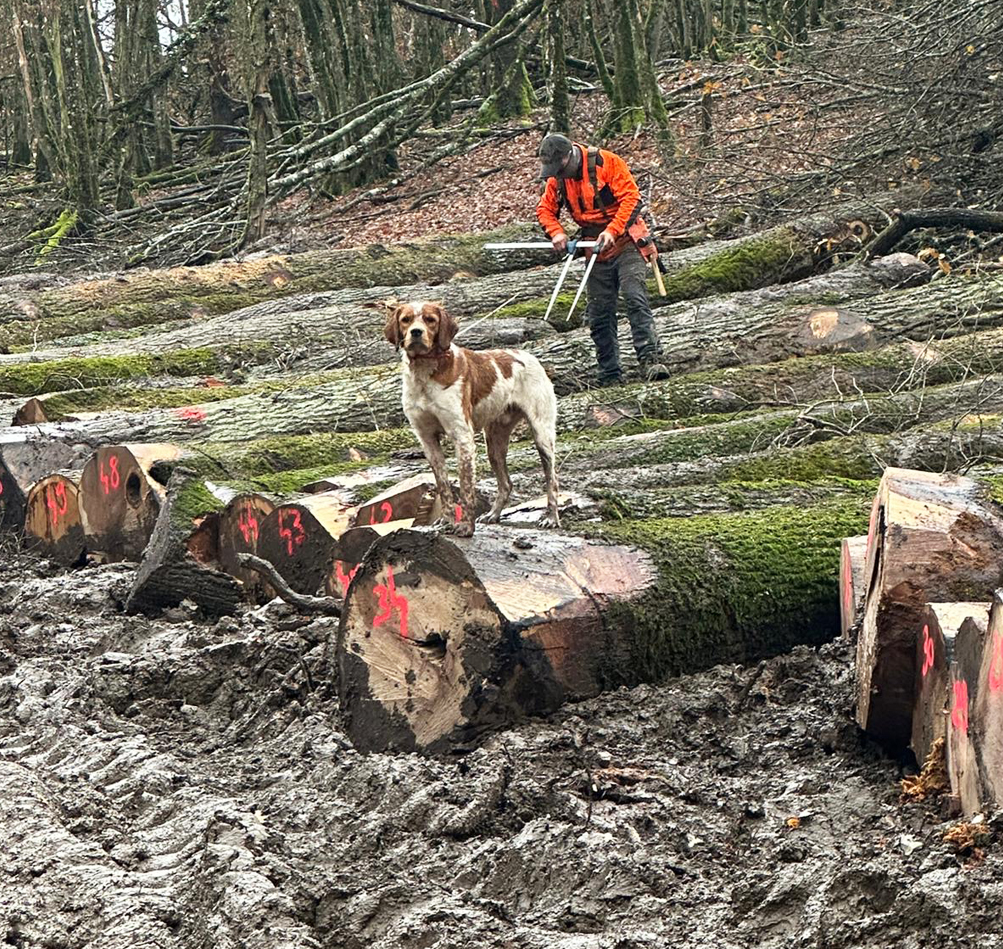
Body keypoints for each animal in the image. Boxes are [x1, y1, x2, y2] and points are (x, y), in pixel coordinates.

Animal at [383, 298, 561, 537]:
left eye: (430, 319)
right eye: (406, 320)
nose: (416, 332)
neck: (425, 374)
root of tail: (529, 356)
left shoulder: (462, 437)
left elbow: (467, 489)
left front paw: (466, 527)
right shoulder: (428, 440)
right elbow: (444, 486)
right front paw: (446, 522)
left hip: (542, 435)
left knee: (552, 480)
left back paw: (551, 517)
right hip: (494, 443)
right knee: (506, 484)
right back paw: (493, 514)